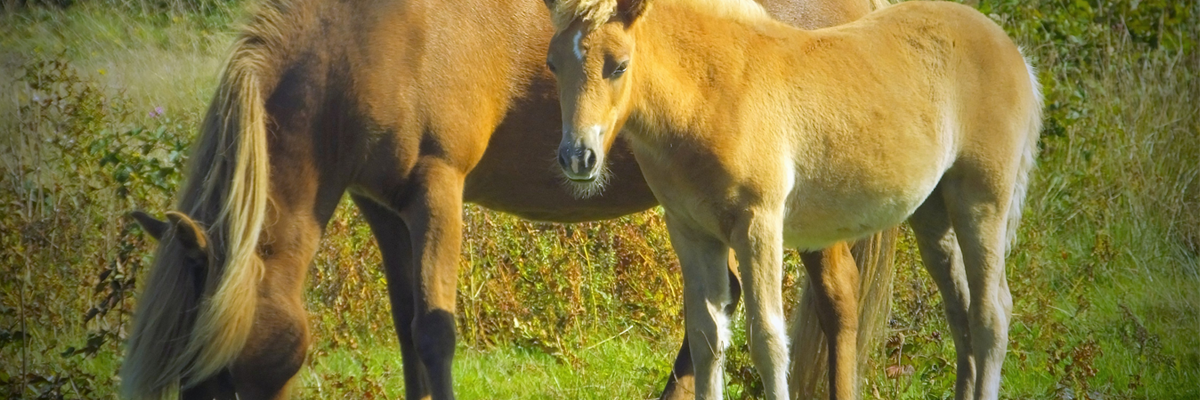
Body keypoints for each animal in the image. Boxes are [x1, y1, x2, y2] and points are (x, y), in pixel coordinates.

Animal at [121, 0, 892, 396]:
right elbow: (407, 331)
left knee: (837, 303)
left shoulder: (438, 188)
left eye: (219, 373)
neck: (366, 38)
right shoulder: (384, 206)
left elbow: (435, 332)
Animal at [544, 0, 1041, 398]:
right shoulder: (691, 230)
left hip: (983, 202)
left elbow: (767, 338)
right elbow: (706, 337)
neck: (714, 92)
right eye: (552, 64)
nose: (577, 157)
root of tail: (1013, 52)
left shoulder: (758, 223)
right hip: (933, 214)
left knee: (991, 315)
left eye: (618, 65)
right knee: (961, 314)